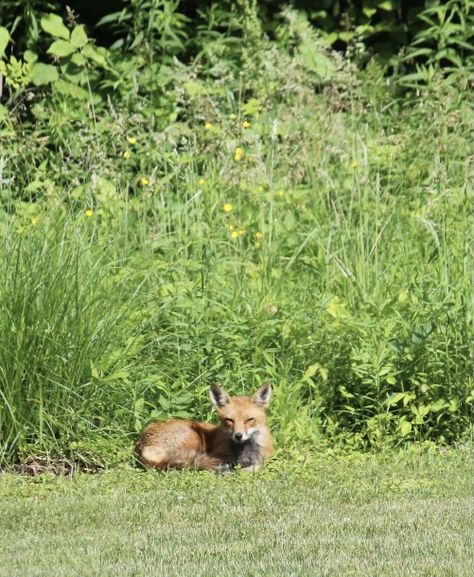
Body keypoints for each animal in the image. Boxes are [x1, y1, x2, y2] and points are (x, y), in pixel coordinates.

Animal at [135, 382, 272, 472]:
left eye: (249, 420)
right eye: (229, 420)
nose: (238, 436)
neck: (244, 451)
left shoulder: (265, 458)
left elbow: (256, 466)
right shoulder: (217, 454)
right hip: (194, 438)